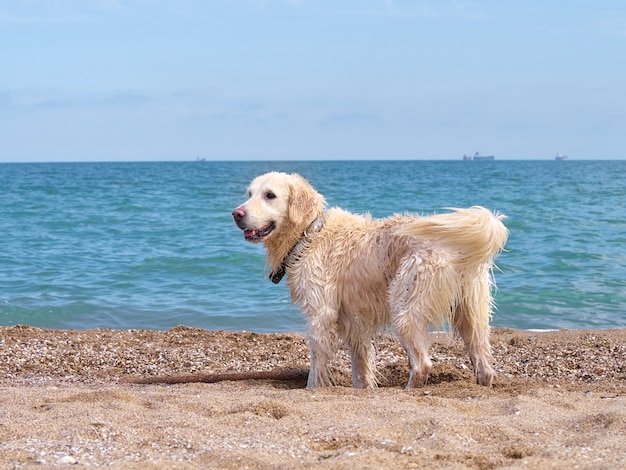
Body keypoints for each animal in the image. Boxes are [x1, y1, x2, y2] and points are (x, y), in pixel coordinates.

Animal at [232, 173, 504, 390]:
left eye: (270, 195)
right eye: (250, 193)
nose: (236, 214)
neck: (309, 234)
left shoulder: (320, 315)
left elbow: (317, 363)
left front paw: (312, 388)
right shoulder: (356, 323)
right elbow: (360, 367)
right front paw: (362, 389)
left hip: (404, 306)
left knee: (423, 364)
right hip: (471, 312)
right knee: (484, 362)